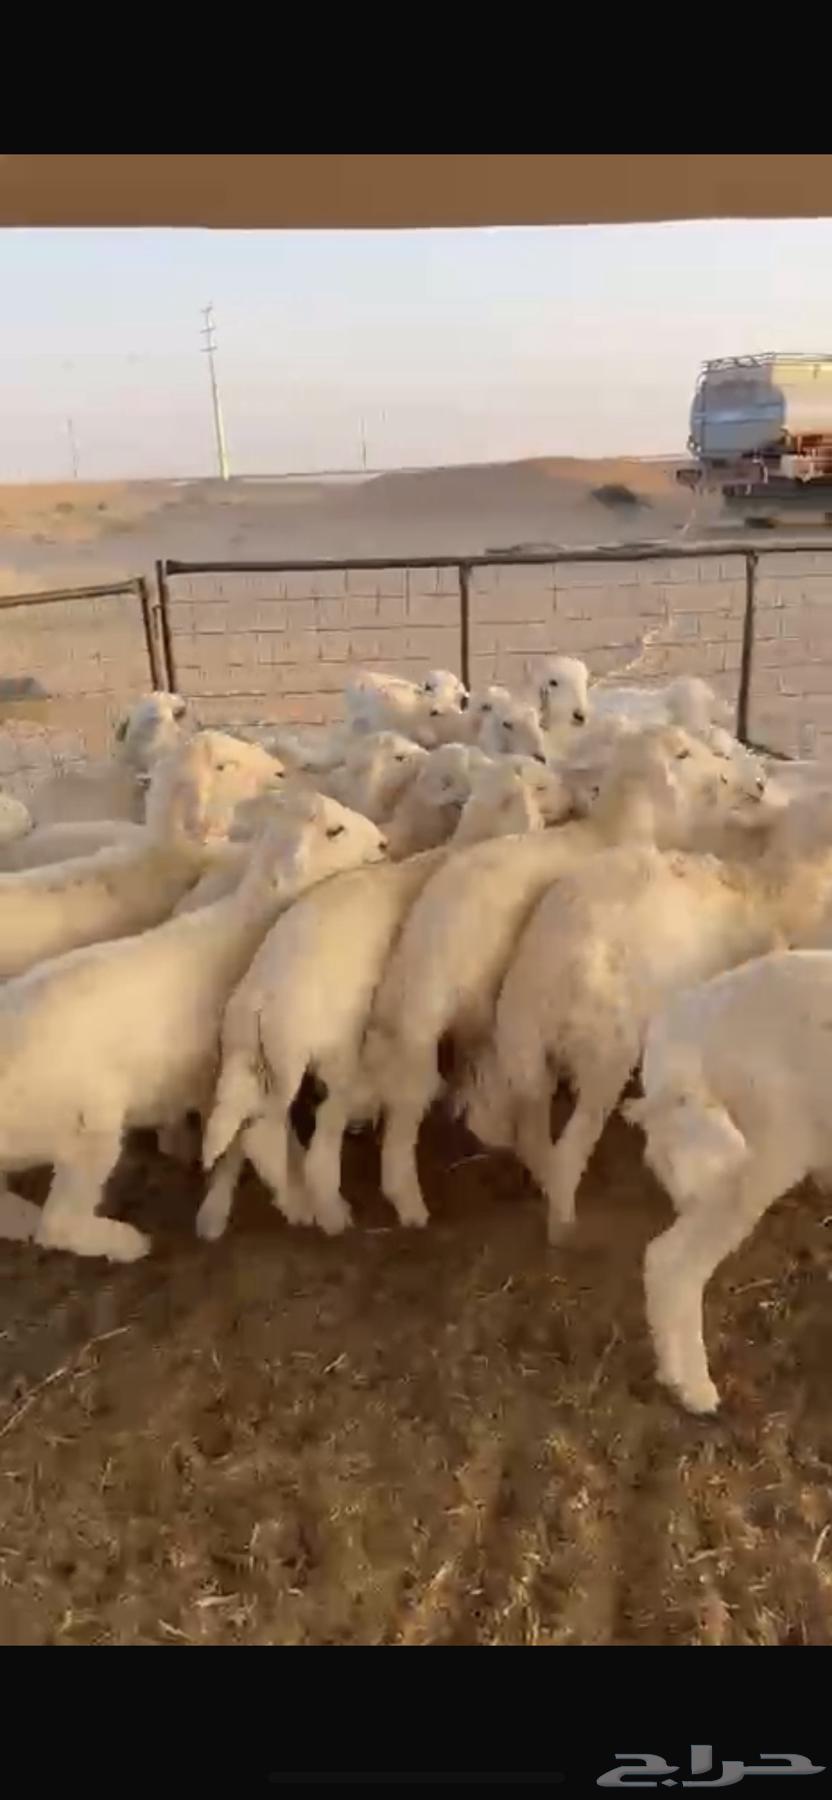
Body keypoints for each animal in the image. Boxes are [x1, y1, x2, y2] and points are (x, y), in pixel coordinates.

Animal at [0, 790, 387, 1262]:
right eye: (335, 831)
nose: (385, 843)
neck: (246, 923)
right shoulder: (224, 1072)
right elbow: (258, 1139)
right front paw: (296, 1199)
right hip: (88, 1127)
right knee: (59, 1223)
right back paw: (128, 1243)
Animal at [468, 786, 832, 1248]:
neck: (768, 891)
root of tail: (541, 994)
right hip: (605, 1049)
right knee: (570, 1147)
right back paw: (564, 1227)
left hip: (528, 1056)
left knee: (533, 1132)